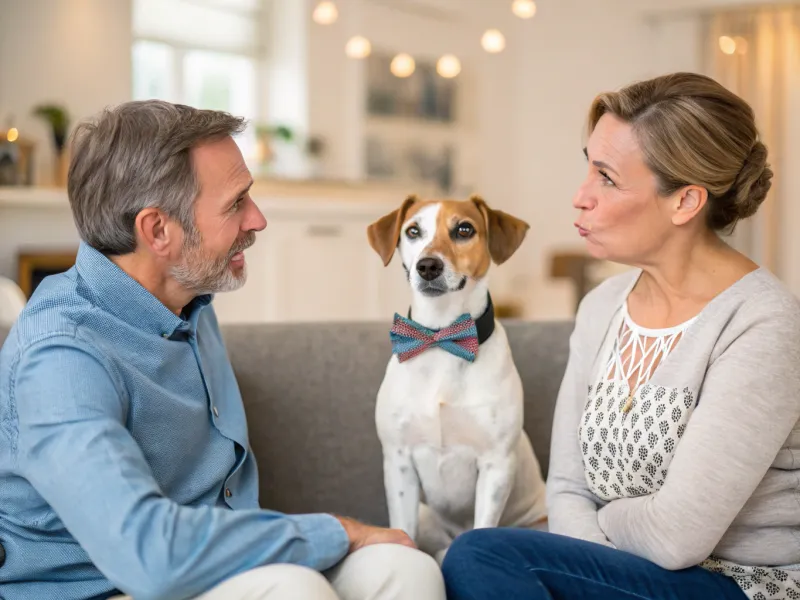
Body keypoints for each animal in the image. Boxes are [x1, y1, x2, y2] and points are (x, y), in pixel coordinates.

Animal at [366, 193, 548, 564]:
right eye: (413, 231)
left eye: (464, 229)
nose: (428, 266)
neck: (442, 338)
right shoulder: (399, 462)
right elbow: (403, 529)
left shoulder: (495, 465)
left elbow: (483, 526)